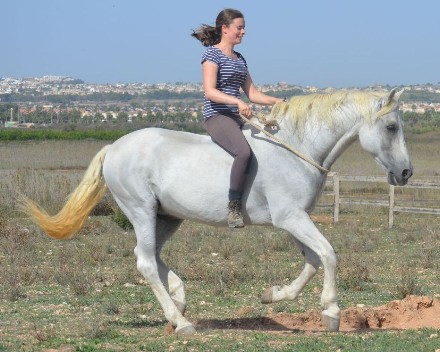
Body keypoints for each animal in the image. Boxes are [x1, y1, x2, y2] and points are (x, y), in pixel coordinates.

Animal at [20, 86, 412, 334]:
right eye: (391, 127)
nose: (406, 173)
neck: (296, 149)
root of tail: (114, 147)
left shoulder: (294, 219)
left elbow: (314, 260)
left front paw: (274, 295)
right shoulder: (291, 218)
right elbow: (329, 254)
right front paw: (331, 311)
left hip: (167, 217)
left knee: (152, 256)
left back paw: (179, 301)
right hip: (141, 210)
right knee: (145, 261)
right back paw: (181, 323)